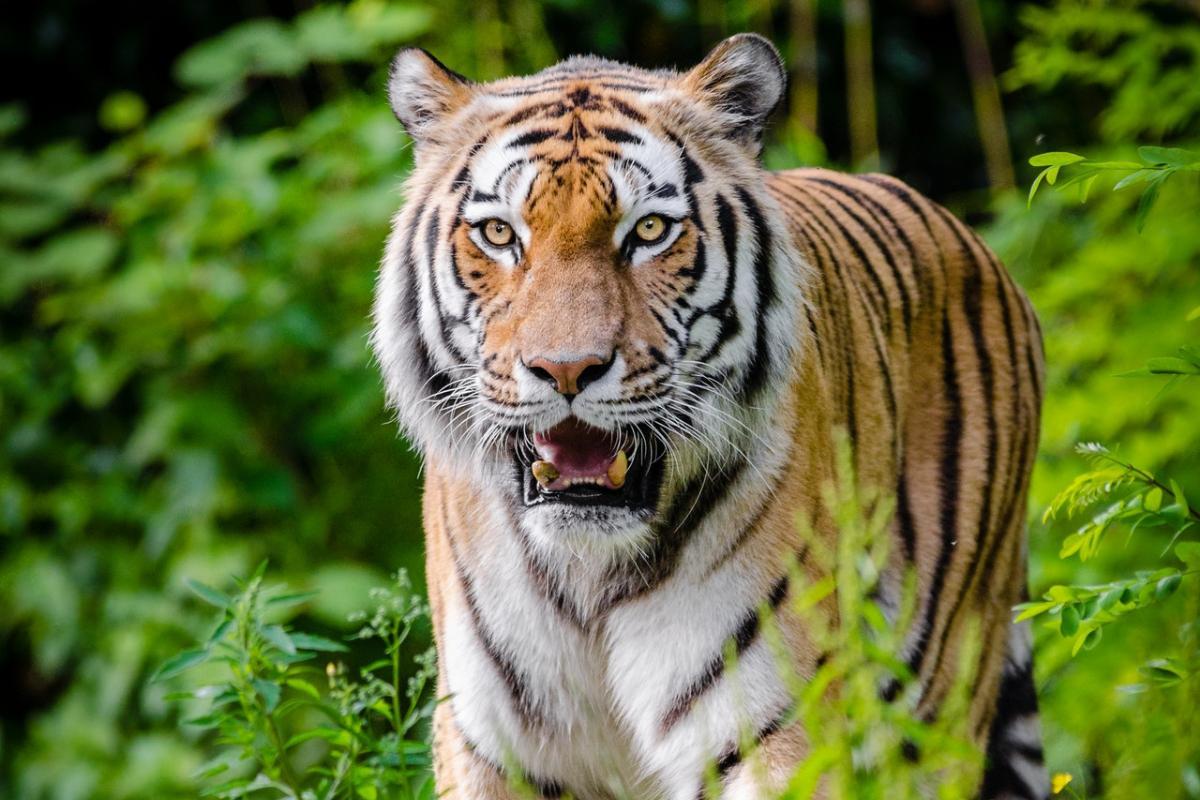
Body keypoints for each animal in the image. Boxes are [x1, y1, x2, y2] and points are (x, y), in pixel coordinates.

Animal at [371, 33, 1048, 800]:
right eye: (497, 233)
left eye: (649, 230)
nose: (566, 368)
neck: (588, 579)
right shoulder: (489, 745)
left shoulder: (778, 733)